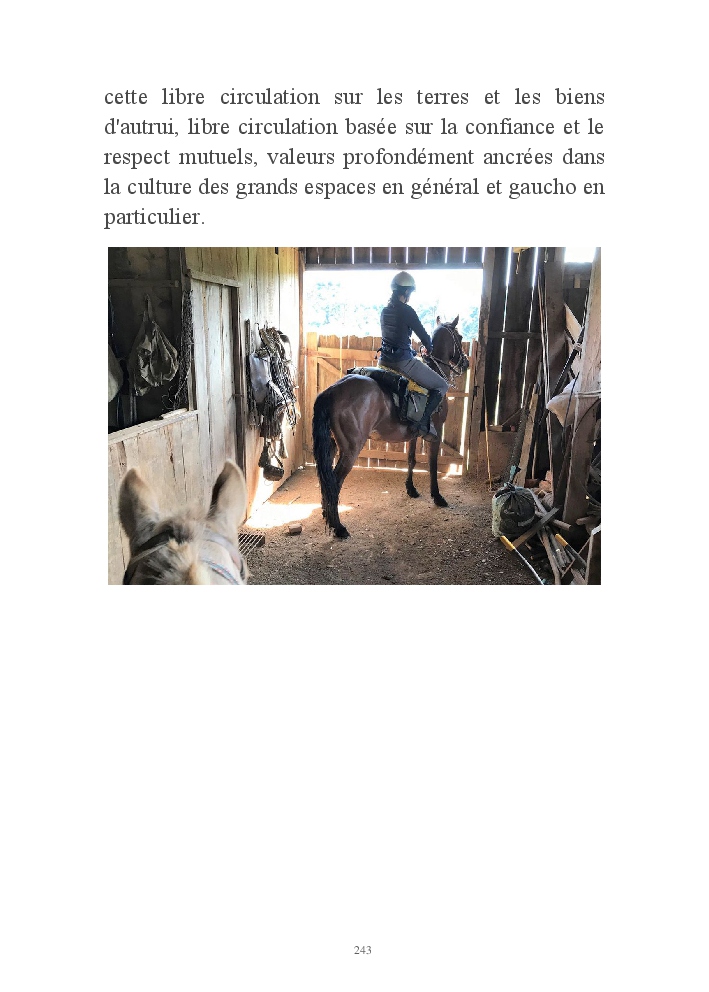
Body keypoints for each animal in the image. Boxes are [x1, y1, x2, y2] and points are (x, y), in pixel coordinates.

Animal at [313, 316, 469, 539]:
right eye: (460, 336)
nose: (466, 362)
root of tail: (333, 390)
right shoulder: (437, 431)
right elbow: (432, 465)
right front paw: (437, 496)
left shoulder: (414, 434)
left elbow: (412, 459)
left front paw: (411, 489)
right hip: (350, 450)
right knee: (334, 482)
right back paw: (339, 527)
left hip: (332, 446)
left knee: (326, 482)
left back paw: (329, 517)